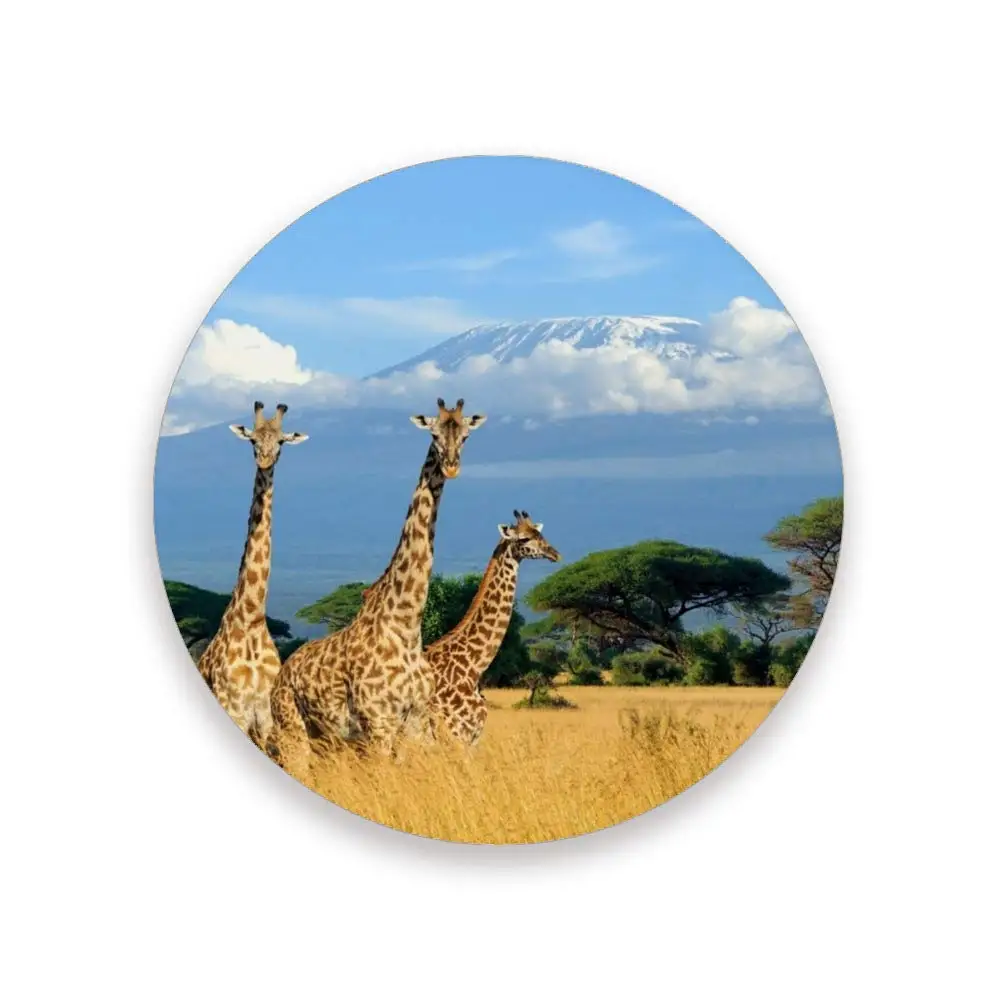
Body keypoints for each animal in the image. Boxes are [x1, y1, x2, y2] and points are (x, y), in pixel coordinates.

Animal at [196, 401, 308, 742]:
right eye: (253, 440)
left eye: (281, 441)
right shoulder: (234, 709)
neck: (251, 618)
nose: (265, 459)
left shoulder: (267, 716)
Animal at [265, 398, 486, 776]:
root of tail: (283, 673)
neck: (407, 626)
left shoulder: (416, 722)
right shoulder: (379, 723)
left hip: (327, 738)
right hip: (292, 728)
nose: (452, 466)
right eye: (433, 433)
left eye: (466, 436)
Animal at [427, 510, 560, 745]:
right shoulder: (461, 729)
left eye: (540, 534)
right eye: (523, 538)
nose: (554, 553)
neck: (473, 666)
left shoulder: (471, 733)